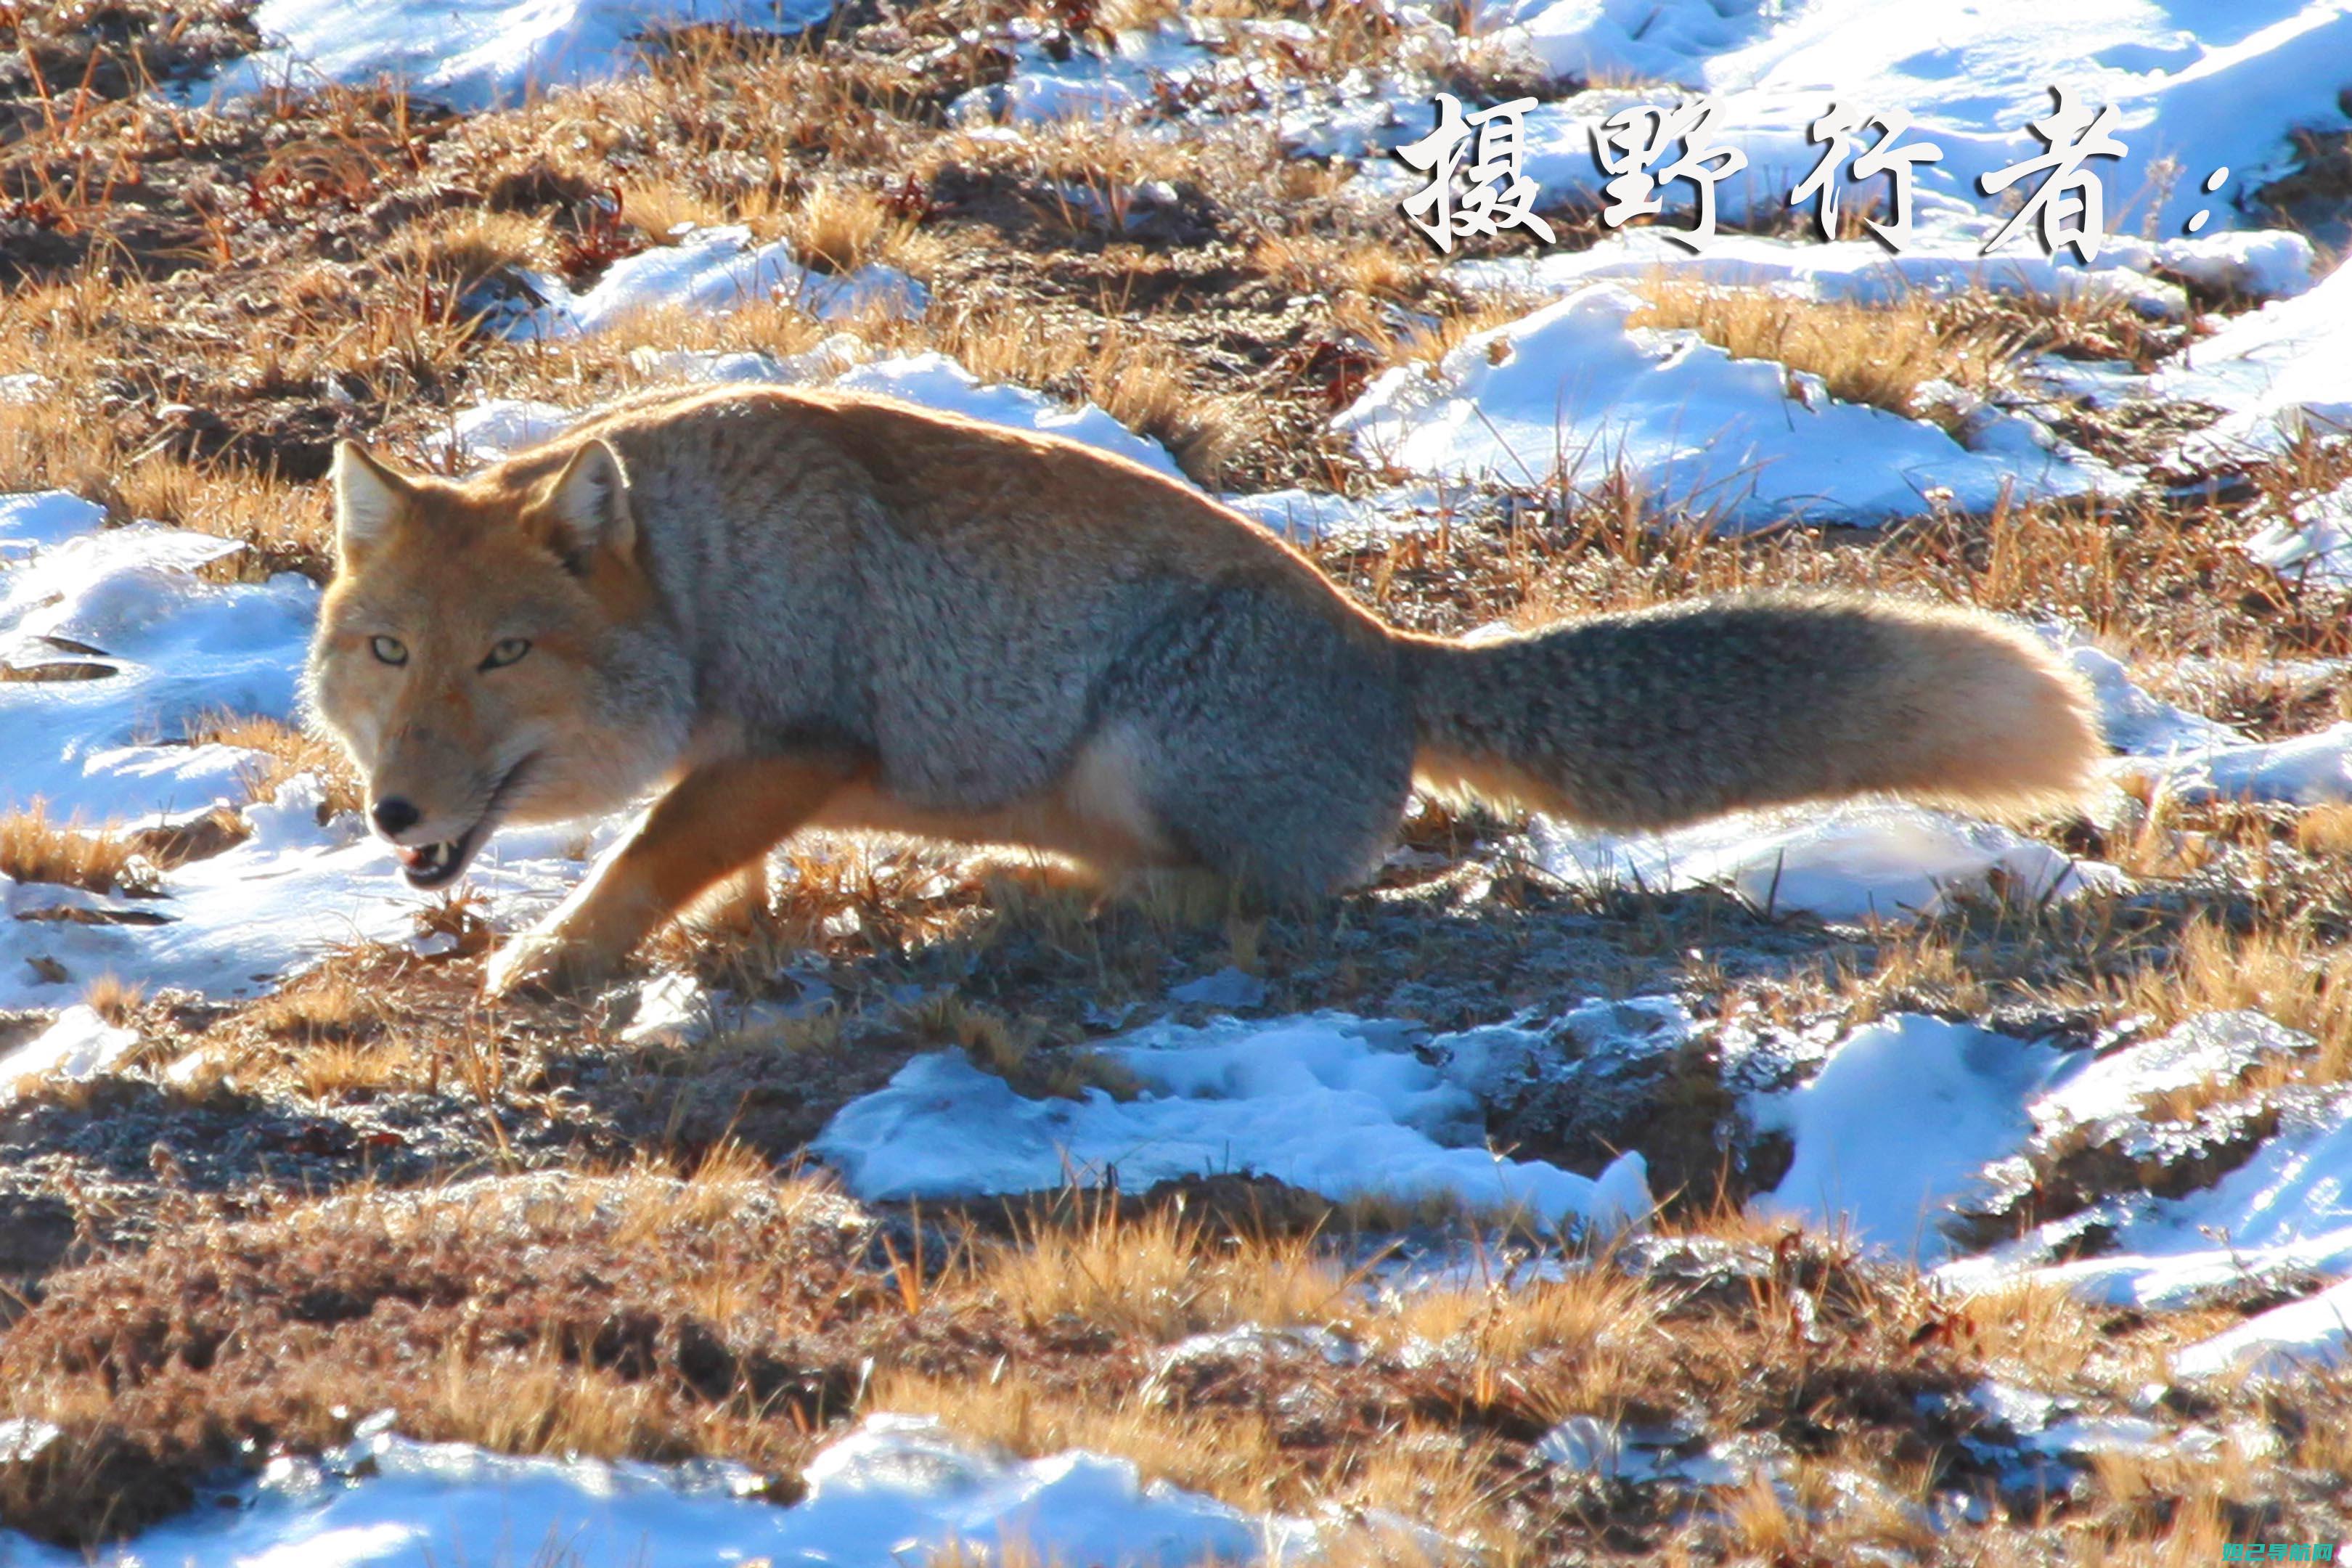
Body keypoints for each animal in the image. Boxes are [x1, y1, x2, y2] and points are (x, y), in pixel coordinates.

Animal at [308, 383, 2098, 992]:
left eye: (503, 657)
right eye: (391, 657)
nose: (391, 812)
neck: (707, 572)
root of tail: (1392, 660)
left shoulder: (799, 738)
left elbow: (646, 854)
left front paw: (551, 957)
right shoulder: (763, 768)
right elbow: (687, 860)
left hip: (1139, 751)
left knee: (1259, 900)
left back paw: (1042, 906)